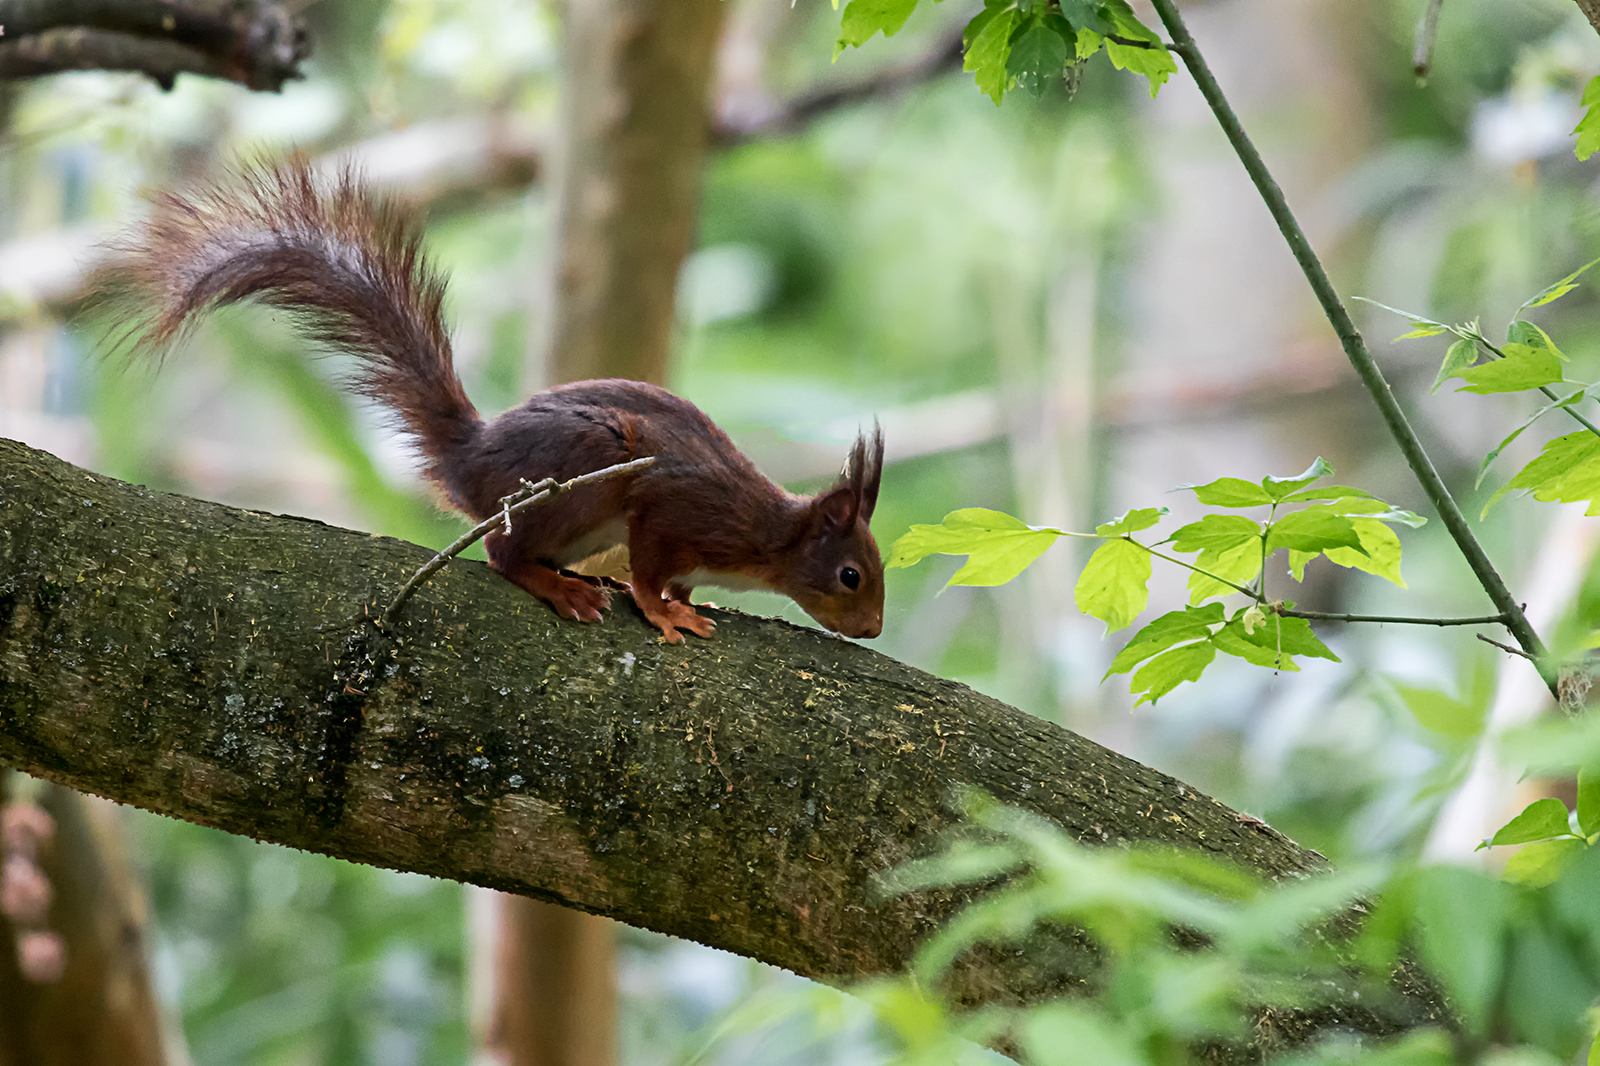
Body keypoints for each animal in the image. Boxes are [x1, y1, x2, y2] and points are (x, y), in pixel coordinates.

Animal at [109, 156, 889, 640]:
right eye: (851, 575)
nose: (875, 628)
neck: (766, 535)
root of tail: (469, 460)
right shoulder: (676, 514)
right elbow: (648, 568)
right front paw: (663, 611)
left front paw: (682, 601)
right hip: (582, 472)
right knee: (503, 556)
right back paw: (561, 586)